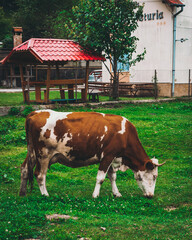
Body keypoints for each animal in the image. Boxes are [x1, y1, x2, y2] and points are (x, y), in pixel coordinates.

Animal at [19, 109, 166, 198]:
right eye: (154, 177)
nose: (150, 195)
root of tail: (35, 113)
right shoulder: (108, 155)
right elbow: (101, 178)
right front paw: (95, 195)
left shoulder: (112, 158)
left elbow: (112, 177)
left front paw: (116, 193)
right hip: (43, 154)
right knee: (40, 175)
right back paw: (45, 195)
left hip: (32, 152)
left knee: (25, 169)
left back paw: (22, 192)